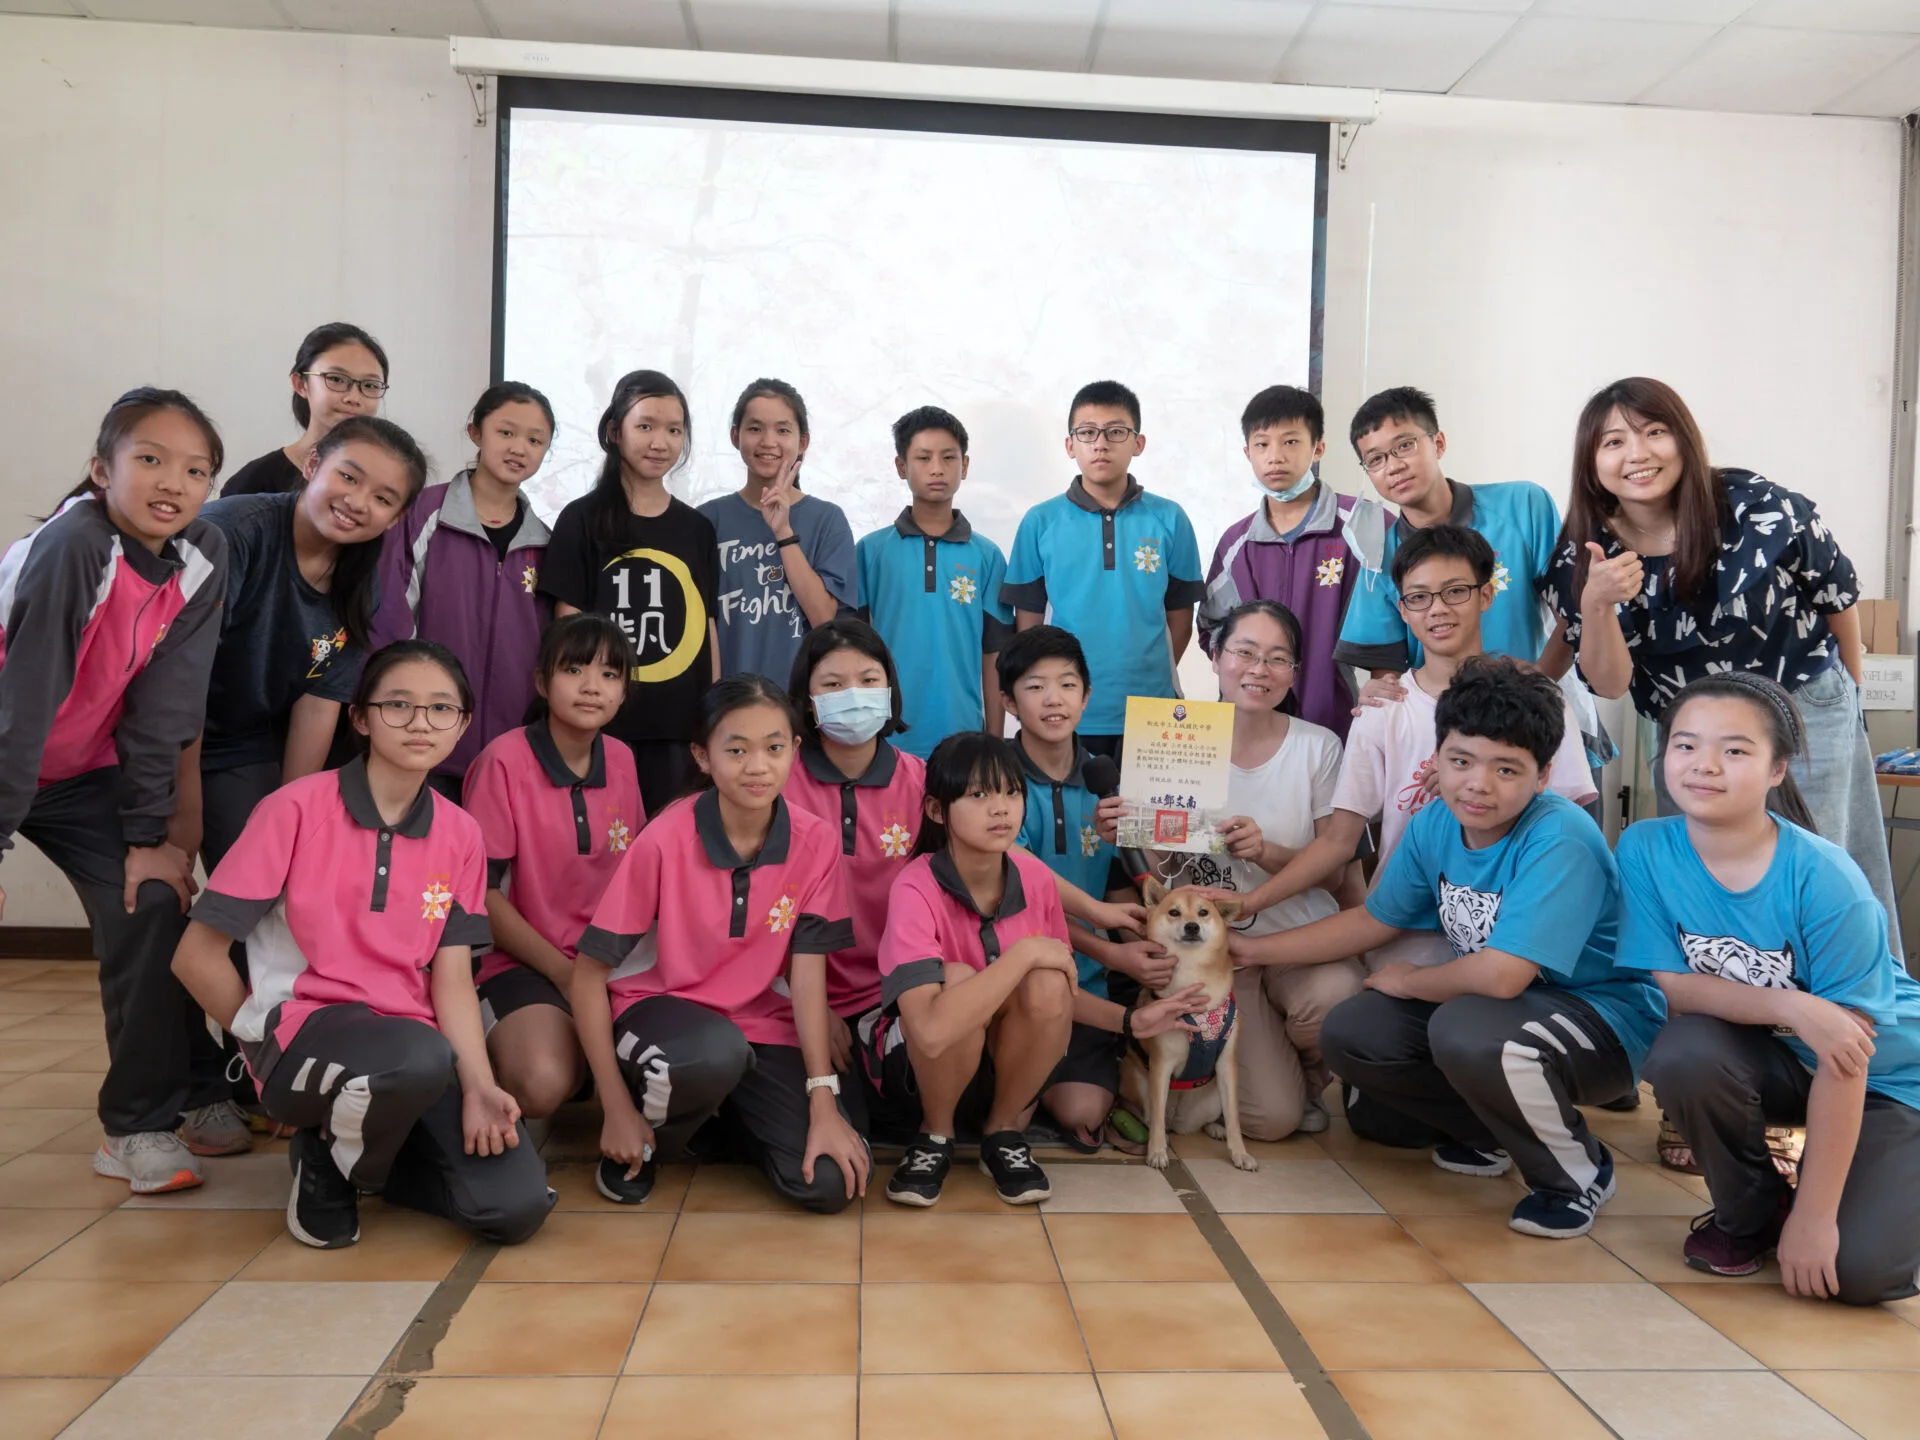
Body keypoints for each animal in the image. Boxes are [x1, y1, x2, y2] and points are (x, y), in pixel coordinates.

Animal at [1113, 879, 1259, 1175]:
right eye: (1174, 913)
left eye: (1203, 913)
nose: (1192, 926)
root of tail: (1178, 1121)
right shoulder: (1161, 1064)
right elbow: (1157, 1117)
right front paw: (1157, 1152)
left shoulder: (1226, 1063)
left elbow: (1234, 1117)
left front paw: (1239, 1152)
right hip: (1137, 1079)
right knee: (1152, 1117)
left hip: (1212, 1097)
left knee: (1208, 1119)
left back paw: (1215, 1129)